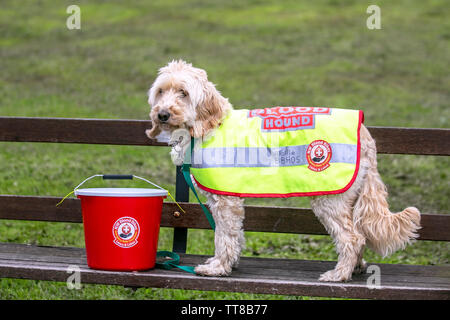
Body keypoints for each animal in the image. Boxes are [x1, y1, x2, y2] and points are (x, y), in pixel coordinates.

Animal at [145, 60, 422, 282]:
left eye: (184, 92)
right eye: (161, 91)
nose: (162, 114)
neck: (210, 125)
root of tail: (365, 132)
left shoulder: (225, 202)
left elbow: (224, 236)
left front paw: (219, 267)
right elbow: (233, 235)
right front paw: (225, 263)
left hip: (330, 198)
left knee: (352, 238)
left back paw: (339, 274)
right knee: (360, 234)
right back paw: (355, 267)